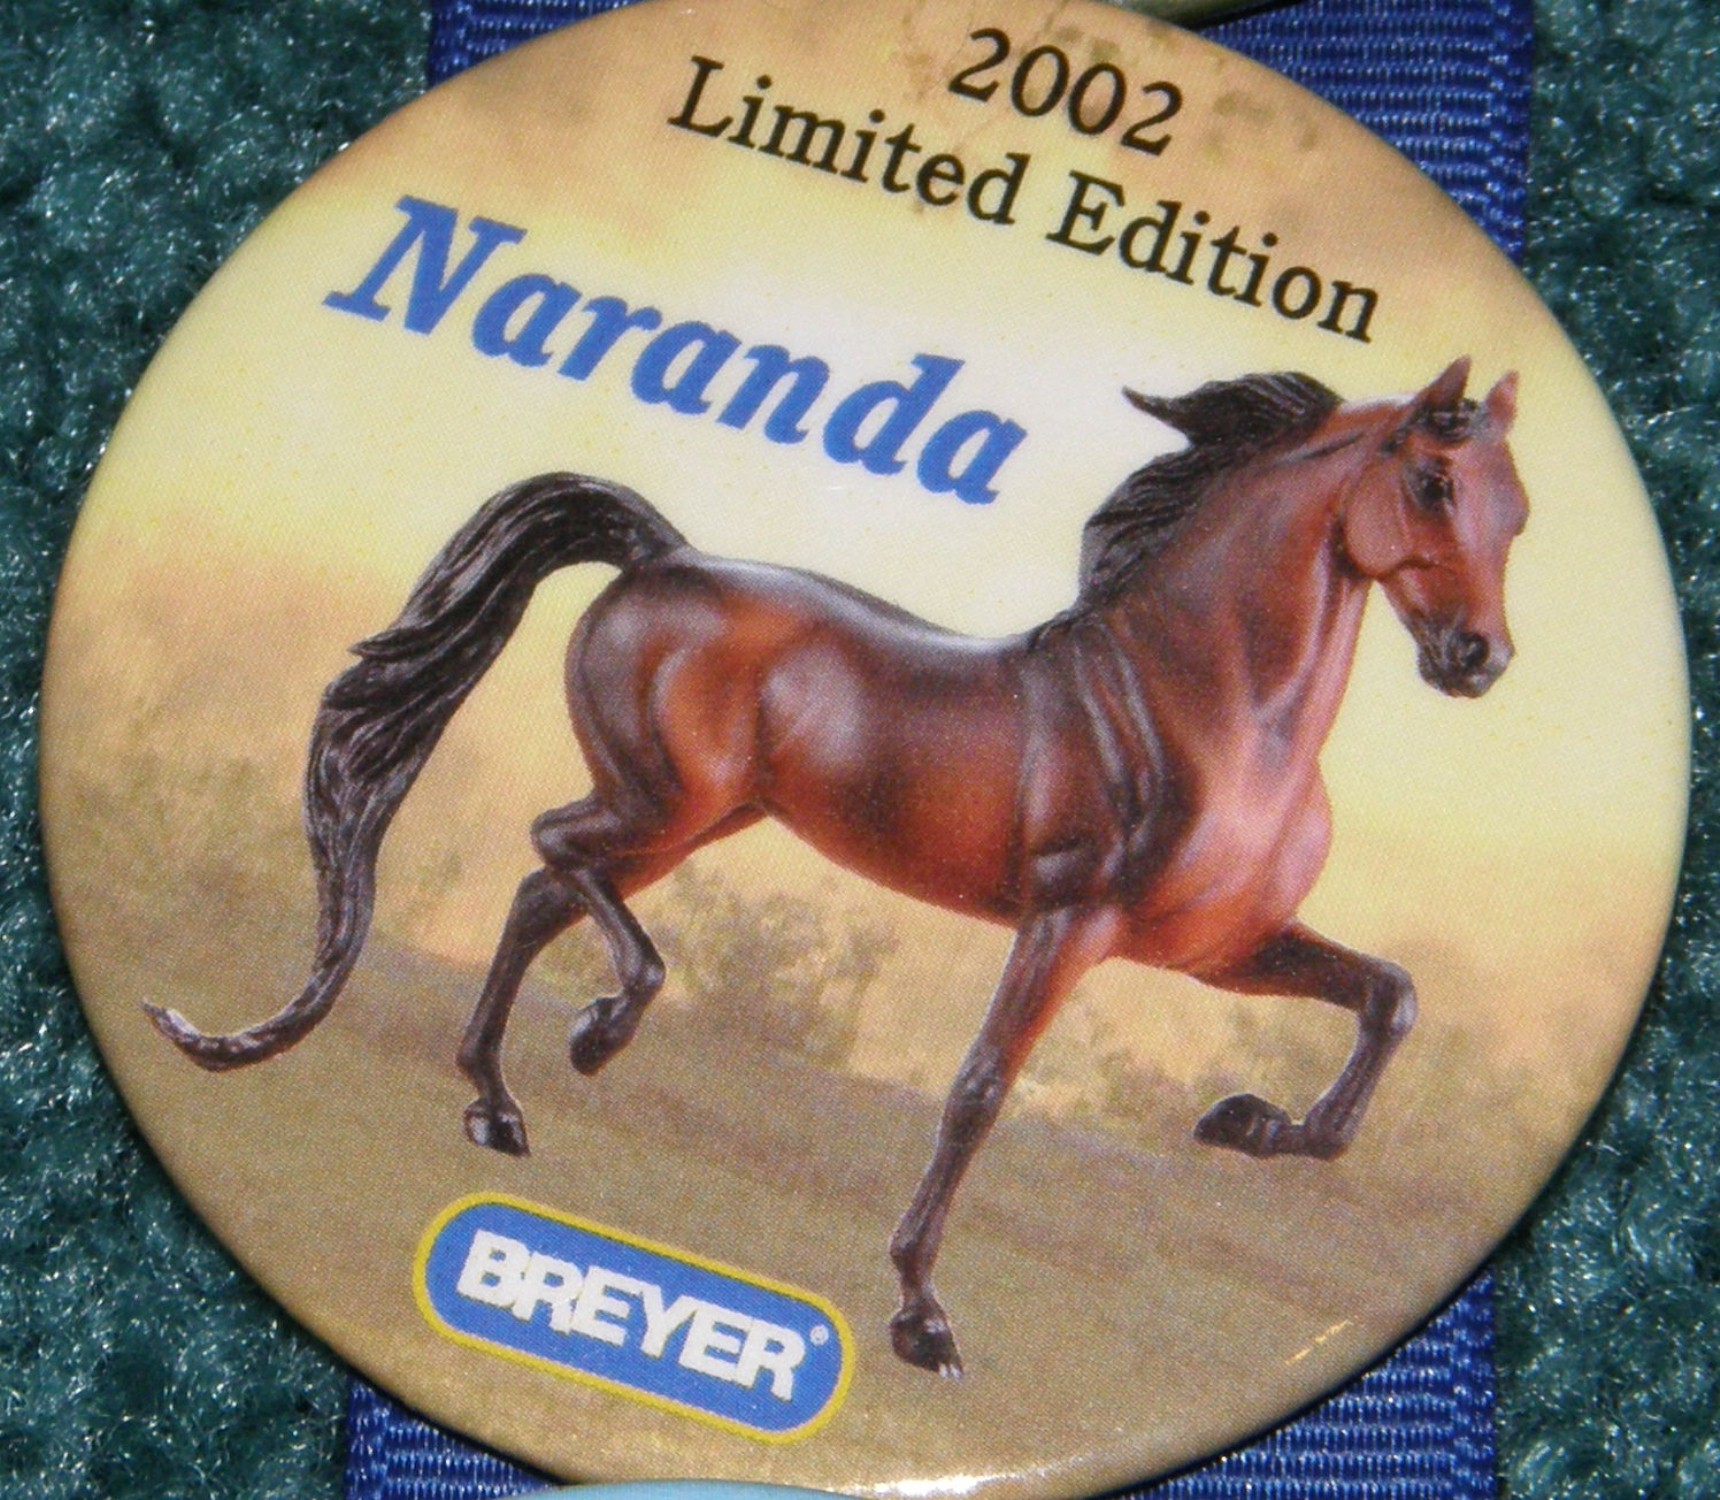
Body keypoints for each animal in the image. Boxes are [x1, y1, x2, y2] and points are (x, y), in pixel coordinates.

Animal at [146, 357, 1526, 1376]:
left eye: (1514, 509)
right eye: (1430, 480)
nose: (1477, 661)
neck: (1211, 707)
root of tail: (660, 558)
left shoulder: (1215, 952)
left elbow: (1388, 1001)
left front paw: (1242, 1123)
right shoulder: (1069, 923)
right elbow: (977, 1092)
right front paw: (922, 1318)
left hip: (690, 823)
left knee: (541, 888)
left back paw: (497, 1104)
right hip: (664, 805)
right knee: (553, 859)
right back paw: (594, 1037)